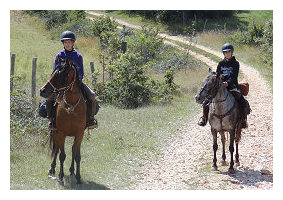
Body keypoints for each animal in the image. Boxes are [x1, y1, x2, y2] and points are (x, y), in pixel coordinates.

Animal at [39, 56, 86, 184]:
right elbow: (62, 155)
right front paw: (60, 177)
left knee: (72, 151)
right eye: (53, 73)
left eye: (59, 75)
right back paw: (52, 169)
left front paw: (78, 177)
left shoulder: (79, 134)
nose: (42, 90)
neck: (71, 105)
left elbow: (77, 155)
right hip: (55, 132)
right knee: (56, 150)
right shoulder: (61, 133)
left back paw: (72, 171)